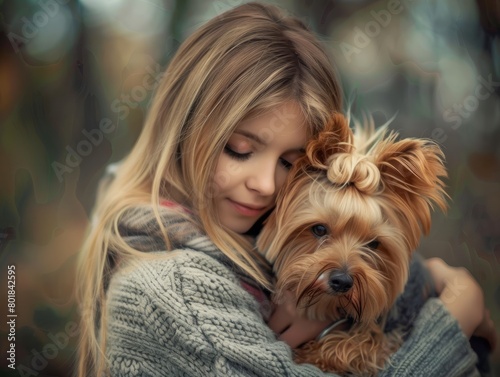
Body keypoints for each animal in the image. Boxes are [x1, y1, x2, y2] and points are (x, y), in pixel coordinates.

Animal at [256, 113, 448, 374]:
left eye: (374, 244)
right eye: (319, 229)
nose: (342, 281)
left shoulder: (390, 333)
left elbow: (357, 346)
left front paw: (314, 354)